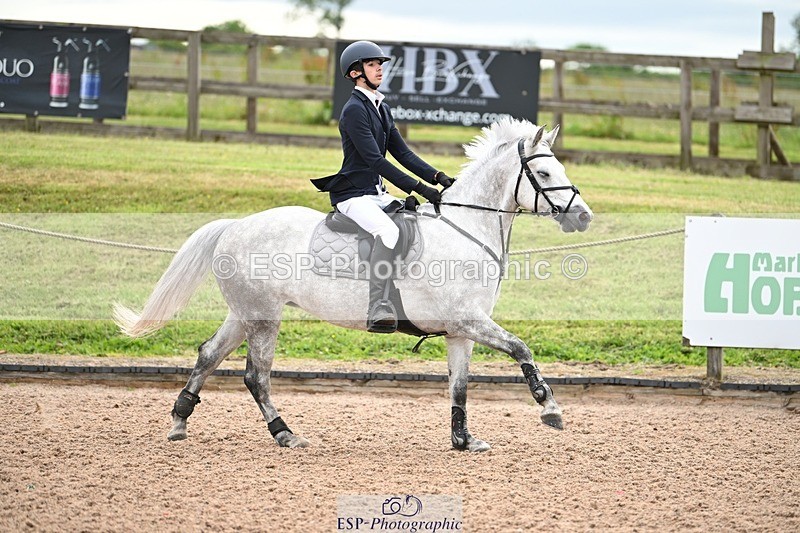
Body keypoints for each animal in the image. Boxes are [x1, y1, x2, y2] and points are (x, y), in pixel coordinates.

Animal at [114, 118, 593, 452]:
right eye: (544, 175)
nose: (583, 216)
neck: (466, 229)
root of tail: (235, 225)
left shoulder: (460, 331)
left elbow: (459, 385)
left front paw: (463, 441)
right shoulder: (469, 321)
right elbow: (521, 348)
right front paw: (550, 408)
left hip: (245, 312)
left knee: (208, 355)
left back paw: (179, 421)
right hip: (264, 317)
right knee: (256, 376)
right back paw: (285, 435)